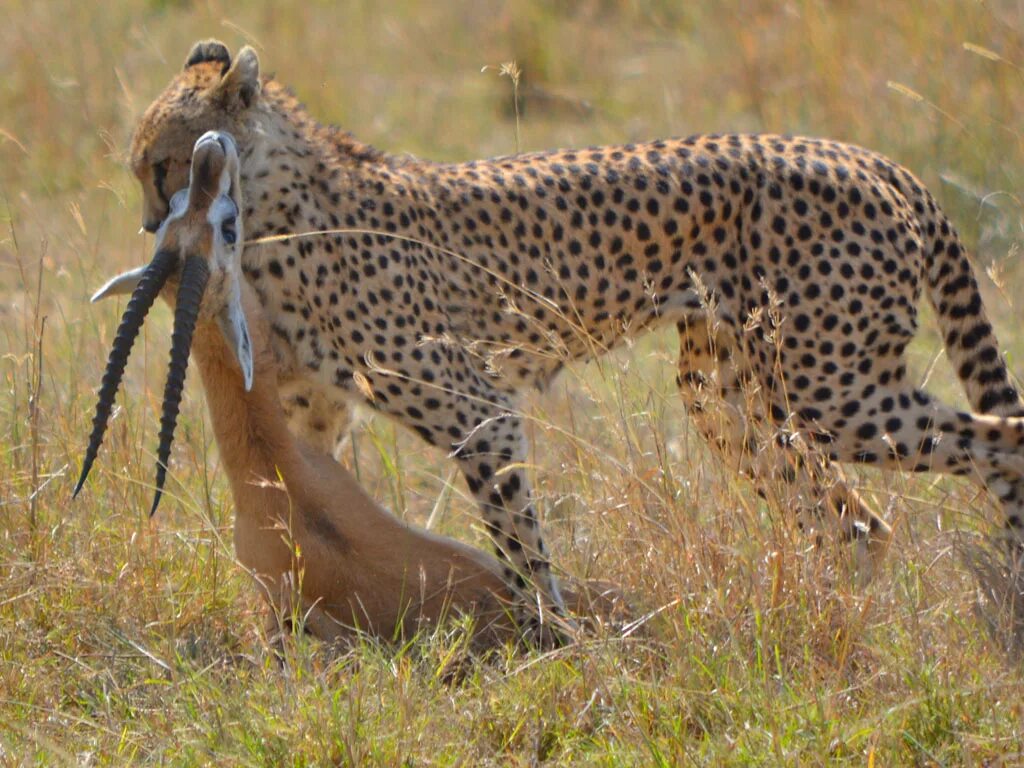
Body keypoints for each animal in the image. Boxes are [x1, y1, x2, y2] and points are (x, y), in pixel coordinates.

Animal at [128, 39, 1024, 622]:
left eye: (164, 164)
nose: (147, 228)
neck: (278, 206)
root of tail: (869, 157)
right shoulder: (310, 416)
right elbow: (304, 505)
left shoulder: (478, 408)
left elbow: (520, 540)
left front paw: (548, 637)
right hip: (734, 399)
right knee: (860, 525)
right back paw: (835, 618)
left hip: (834, 390)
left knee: (997, 442)